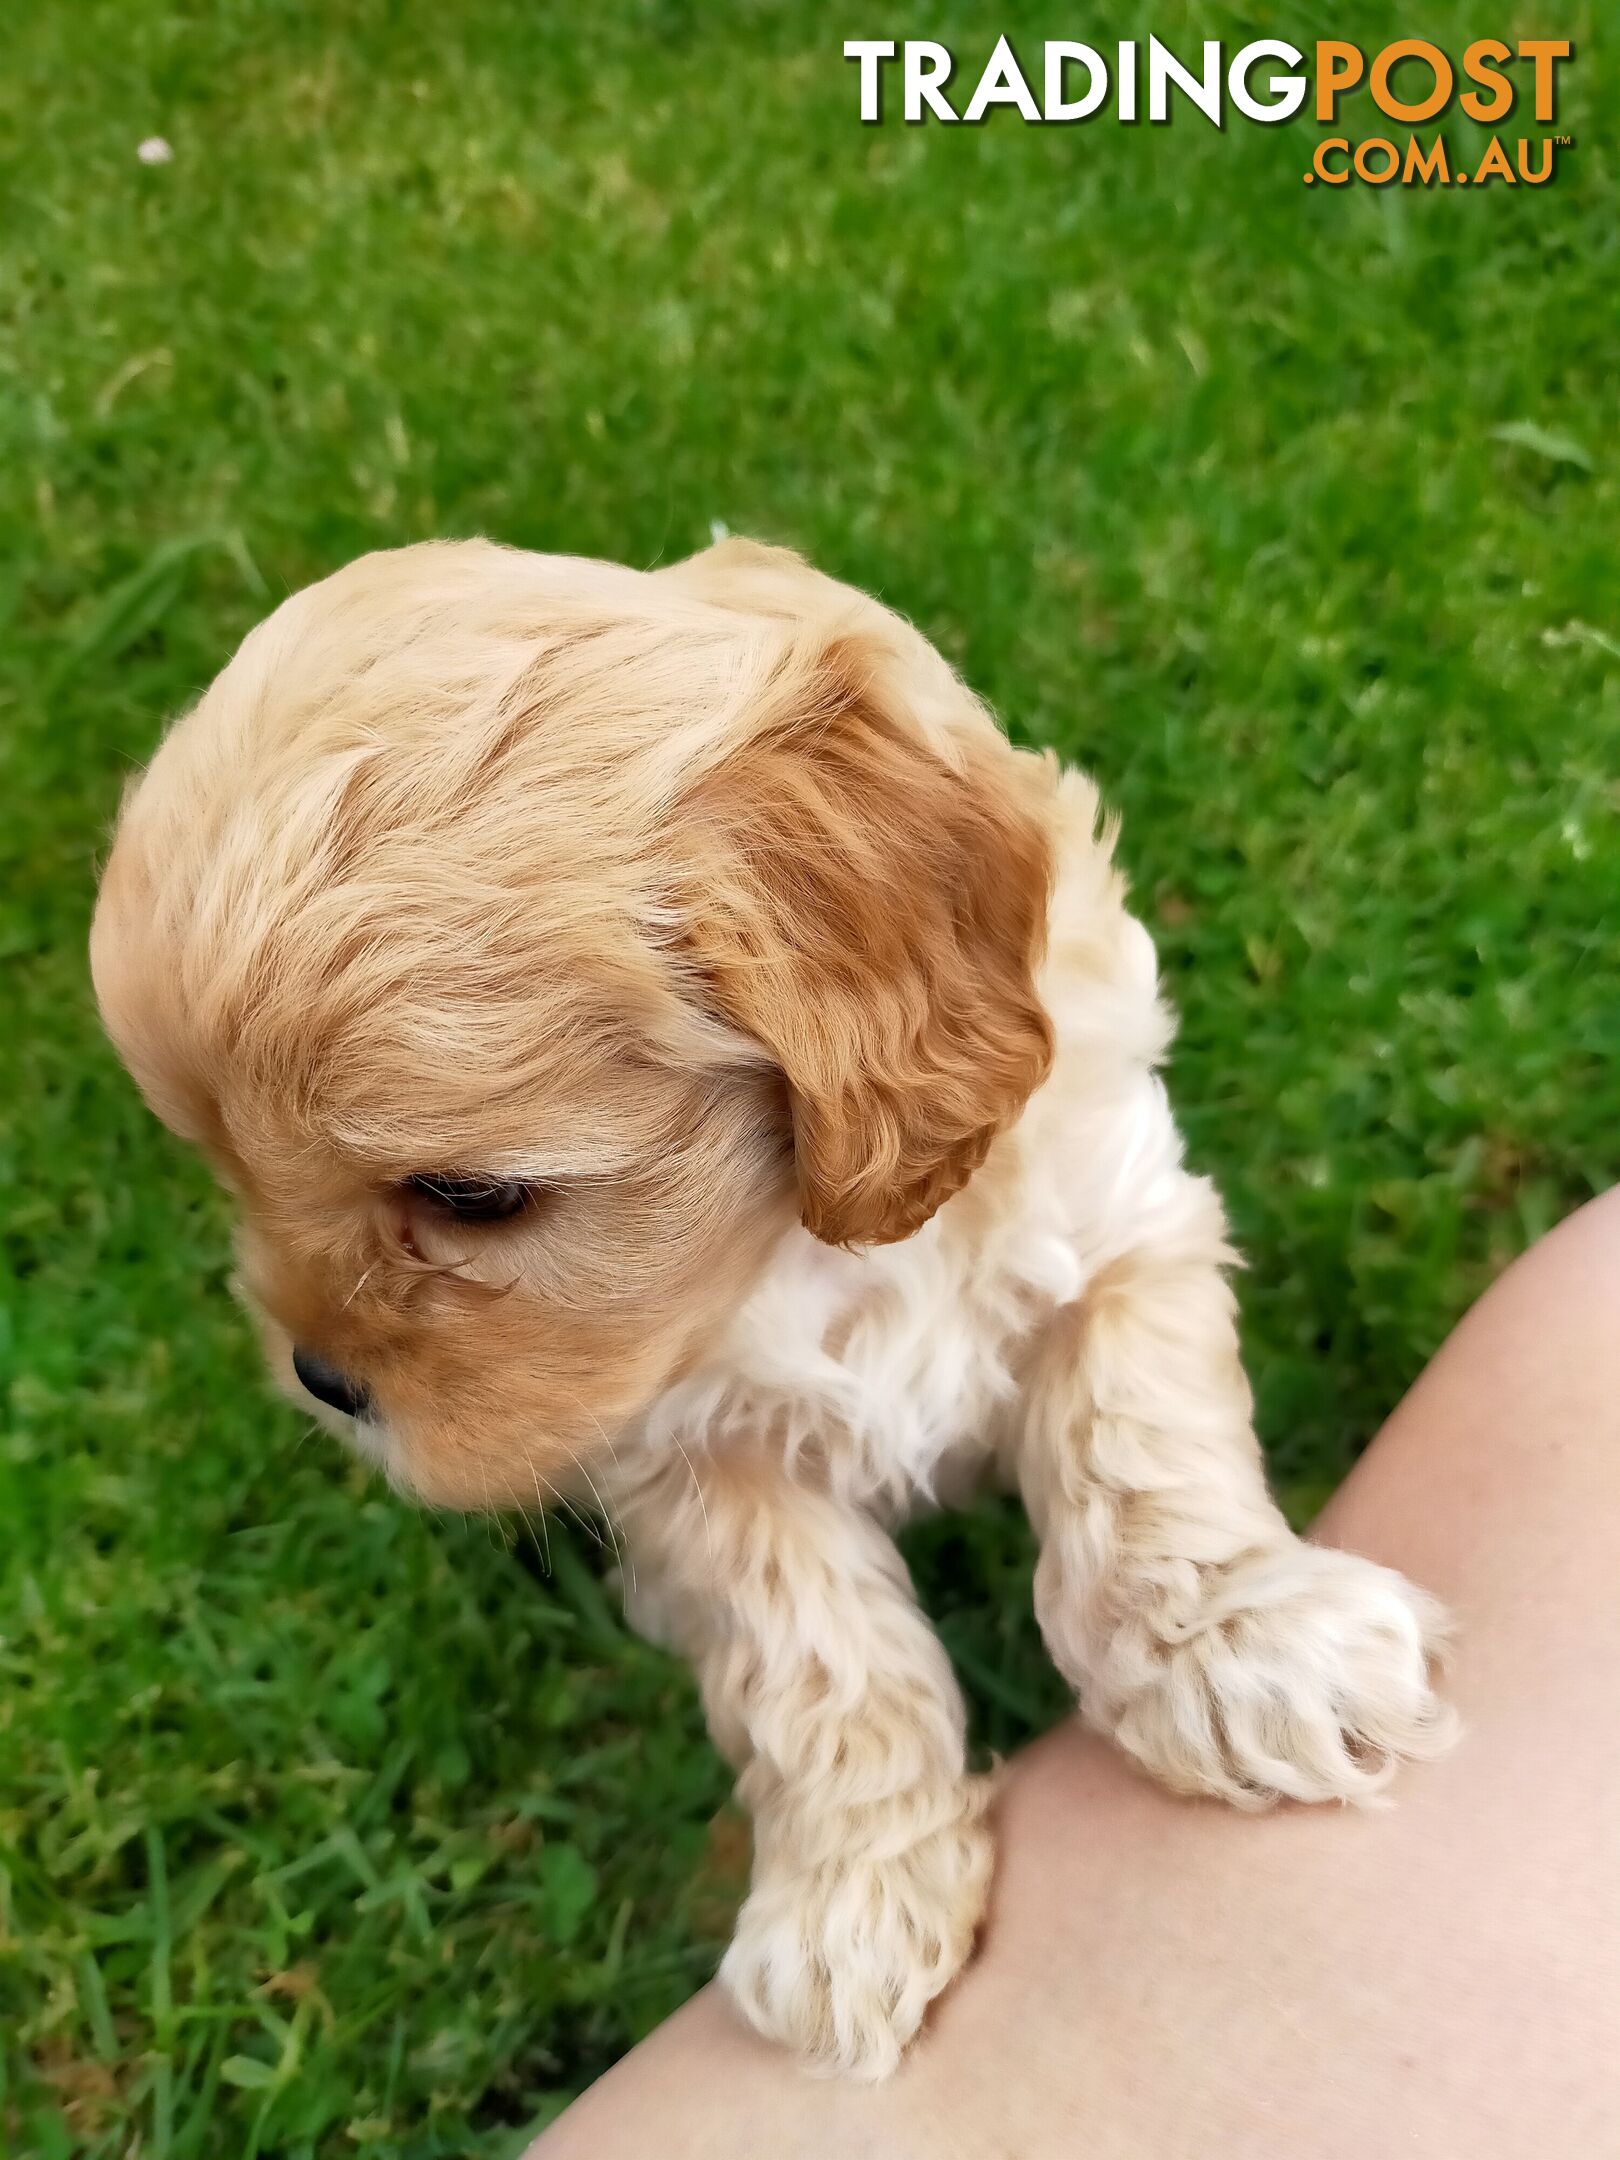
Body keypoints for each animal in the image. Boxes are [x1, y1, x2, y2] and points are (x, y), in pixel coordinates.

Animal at [88, 535, 1460, 2073]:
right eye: (227, 1170)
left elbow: (1139, 1449)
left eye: (471, 1197)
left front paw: (1242, 1648)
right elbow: (817, 1656)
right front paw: (854, 1904)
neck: (805, 1246)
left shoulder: (1117, 1229)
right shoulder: (687, 1456)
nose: (324, 1383)